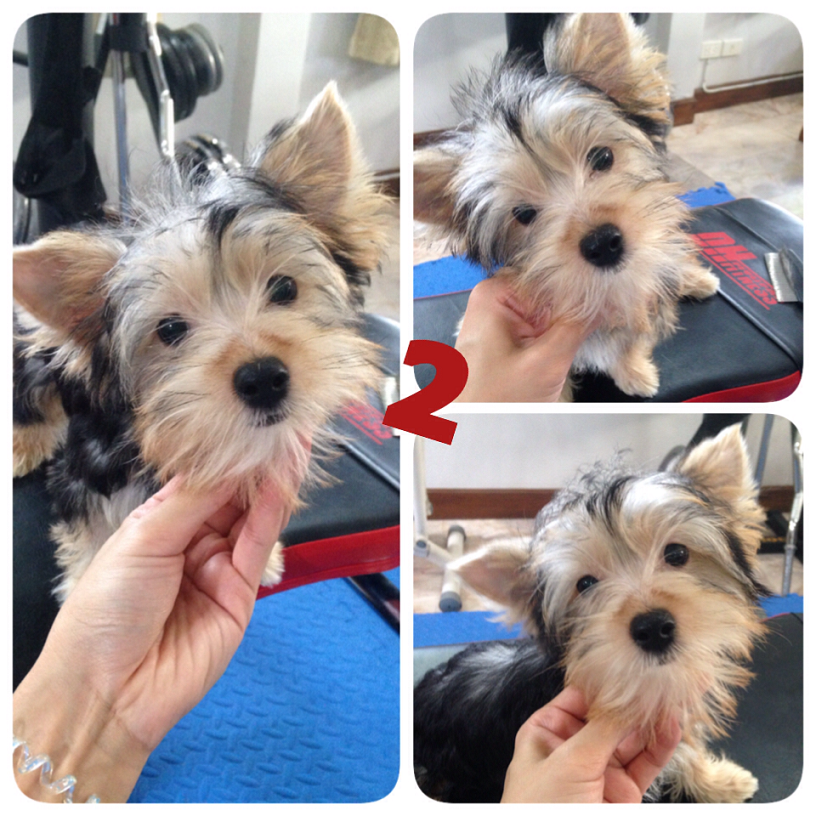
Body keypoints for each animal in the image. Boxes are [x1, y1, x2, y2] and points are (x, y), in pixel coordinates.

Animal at [13, 84, 392, 602]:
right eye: (170, 330)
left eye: (285, 288)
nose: (262, 379)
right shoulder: (92, 469)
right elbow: (92, 528)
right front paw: (88, 581)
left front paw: (264, 557)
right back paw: (24, 442)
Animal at [414, 13, 719, 399]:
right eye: (523, 214)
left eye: (602, 157)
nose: (602, 243)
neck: (609, 288)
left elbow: (632, 335)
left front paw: (634, 370)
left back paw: (695, 278)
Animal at [414, 425, 768, 802]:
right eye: (585, 584)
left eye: (676, 553)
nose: (652, 627)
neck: (650, 684)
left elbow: (686, 752)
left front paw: (720, 781)